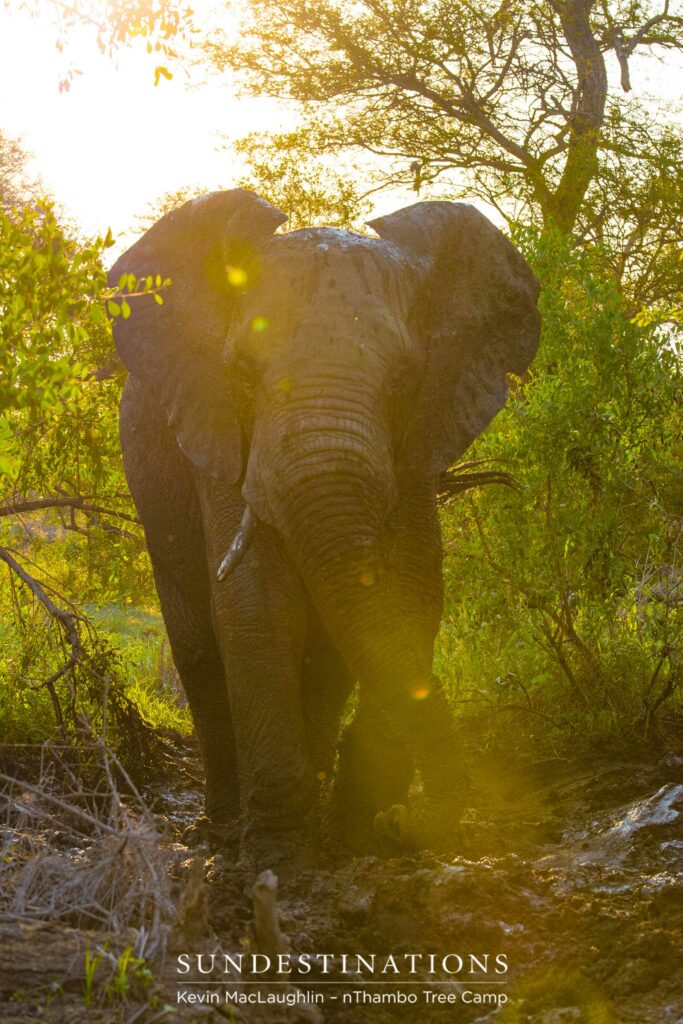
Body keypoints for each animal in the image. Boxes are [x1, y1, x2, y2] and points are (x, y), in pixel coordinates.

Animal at [109, 189, 540, 875]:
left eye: (404, 380)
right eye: (242, 375)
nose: (403, 822)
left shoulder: (416, 441)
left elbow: (414, 590)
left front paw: (363, 827)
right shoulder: (219, 429)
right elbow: (257, 601)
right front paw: (278, 854)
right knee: (198, 644)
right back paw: (221, 828)